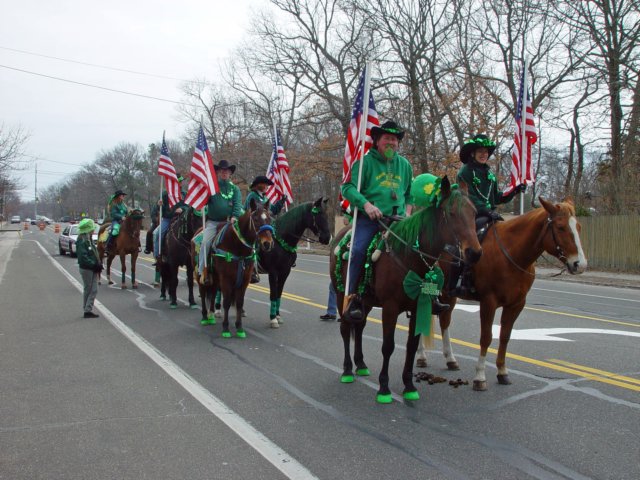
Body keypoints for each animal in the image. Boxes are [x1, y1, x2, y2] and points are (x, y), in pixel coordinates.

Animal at [195, 199, 276, 338]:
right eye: (255, 219)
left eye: (269, 218)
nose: (267, 243)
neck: (237, 246)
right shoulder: (226, 279)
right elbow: (227, 302)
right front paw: (226, 328)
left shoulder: (244, 279)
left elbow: (239, 302)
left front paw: (239, 328)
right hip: (200, 275)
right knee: (203, 291)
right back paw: (205, 317)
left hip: (215, 277)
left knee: (212, 293)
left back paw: (211, 315)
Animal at [330, 178, 480, 404]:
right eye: (452, 213)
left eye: (474, 213)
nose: (474, 252)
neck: (409, 256)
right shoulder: (390, 308)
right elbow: (388, 346)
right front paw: (384, 388)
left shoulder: (418, 307)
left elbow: (411, 346)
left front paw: (409, 386)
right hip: (342, 295)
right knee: (346, 329)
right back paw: (347, 370)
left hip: (365, 301)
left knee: (360, 326)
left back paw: (361, 364)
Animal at [418, 198, 588, 390]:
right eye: (560, 227)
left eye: (578, 226)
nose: (580, 264)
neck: (510, 252)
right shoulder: (488, 302)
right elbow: (486, 337)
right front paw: (480, 376)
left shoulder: (516, 304)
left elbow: (505, 337)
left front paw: (502, 372)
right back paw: (422, 357)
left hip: (449, 295)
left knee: (444, 321)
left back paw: (450, 359)